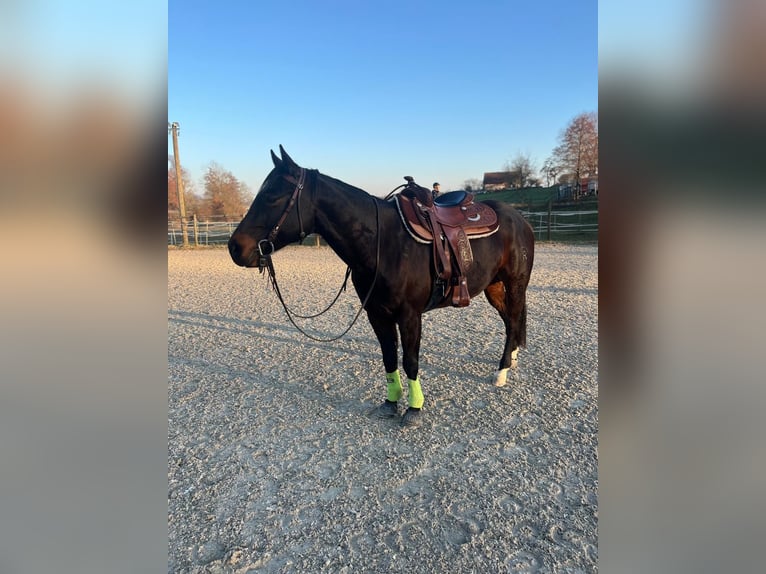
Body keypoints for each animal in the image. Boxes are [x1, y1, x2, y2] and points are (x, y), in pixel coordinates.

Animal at [228, 146, 534, 427]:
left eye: (272, 196)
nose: (235, 247)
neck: (383, 242)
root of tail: (519, 218)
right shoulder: (377, 314)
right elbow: (389, 357)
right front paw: (390, 403)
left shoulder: (410, 315)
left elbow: (410, 360)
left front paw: (414, 408)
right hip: (493, 286)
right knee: (510, 320)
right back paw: (511, 359)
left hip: (515, 284)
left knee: (514, 318)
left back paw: (502, 371)